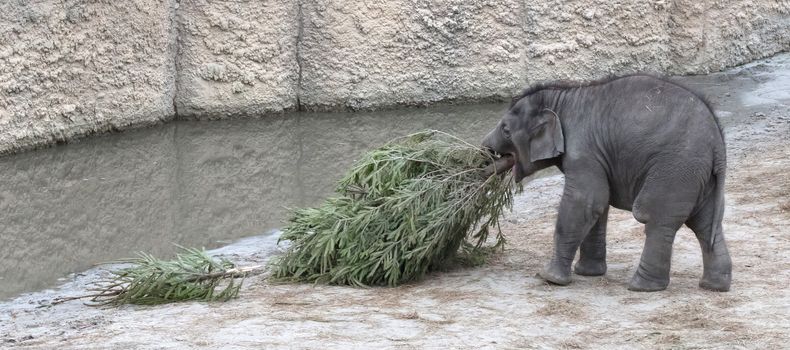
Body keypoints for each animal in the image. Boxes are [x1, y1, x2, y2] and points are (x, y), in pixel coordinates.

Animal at [482, 75, 736, 292]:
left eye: (506, 130)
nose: (485, 156)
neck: (561, 96)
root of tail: (718, 143)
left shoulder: (583, 149)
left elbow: (585, 201)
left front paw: (549, 278)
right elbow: (597, 207)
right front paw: (587, 274)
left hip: (675, 169)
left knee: (654, 217)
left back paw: (641, 287)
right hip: (700, 177)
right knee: (705, 224)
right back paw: (714, 286)